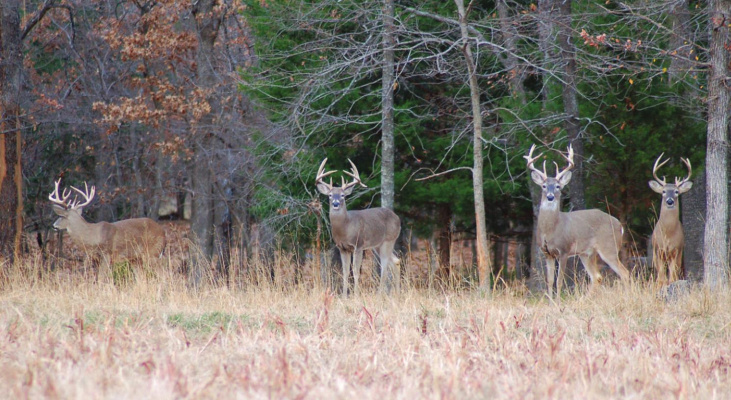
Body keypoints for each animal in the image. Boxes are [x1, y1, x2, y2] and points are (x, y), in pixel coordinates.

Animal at [316, 158, 401, 296]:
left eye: (343, 195)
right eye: (330, 195)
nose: (335, 203)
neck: (345, 228)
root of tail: (398, 218)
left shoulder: (358, 245)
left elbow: (355, 272)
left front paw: (356, 295)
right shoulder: (342, 248)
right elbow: (345, 272)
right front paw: (344, 296)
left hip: (389, 240)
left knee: (385, 265)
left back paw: (380, 295)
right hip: (377, 245)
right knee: (396, 261)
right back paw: (397, 294)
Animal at [525, 144, 630, 298]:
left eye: (558, 186)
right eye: (544, 186)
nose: (550, 197)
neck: (550, 230)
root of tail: (619, 225)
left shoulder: (564, 250)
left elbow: (559, 282)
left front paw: (558, 302)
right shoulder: (547, 253)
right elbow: (549, 281)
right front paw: (550, 301)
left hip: (609, 246)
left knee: (624, 273)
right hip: (587, 253)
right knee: (597, 276)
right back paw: (584, 300)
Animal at [648, 154, 692, 285]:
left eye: (676, 191)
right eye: (663, 191)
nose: (669, 201)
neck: (668, 234)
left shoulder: (676, 250)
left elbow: (672, 277)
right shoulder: (658, 250)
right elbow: (661, 279)